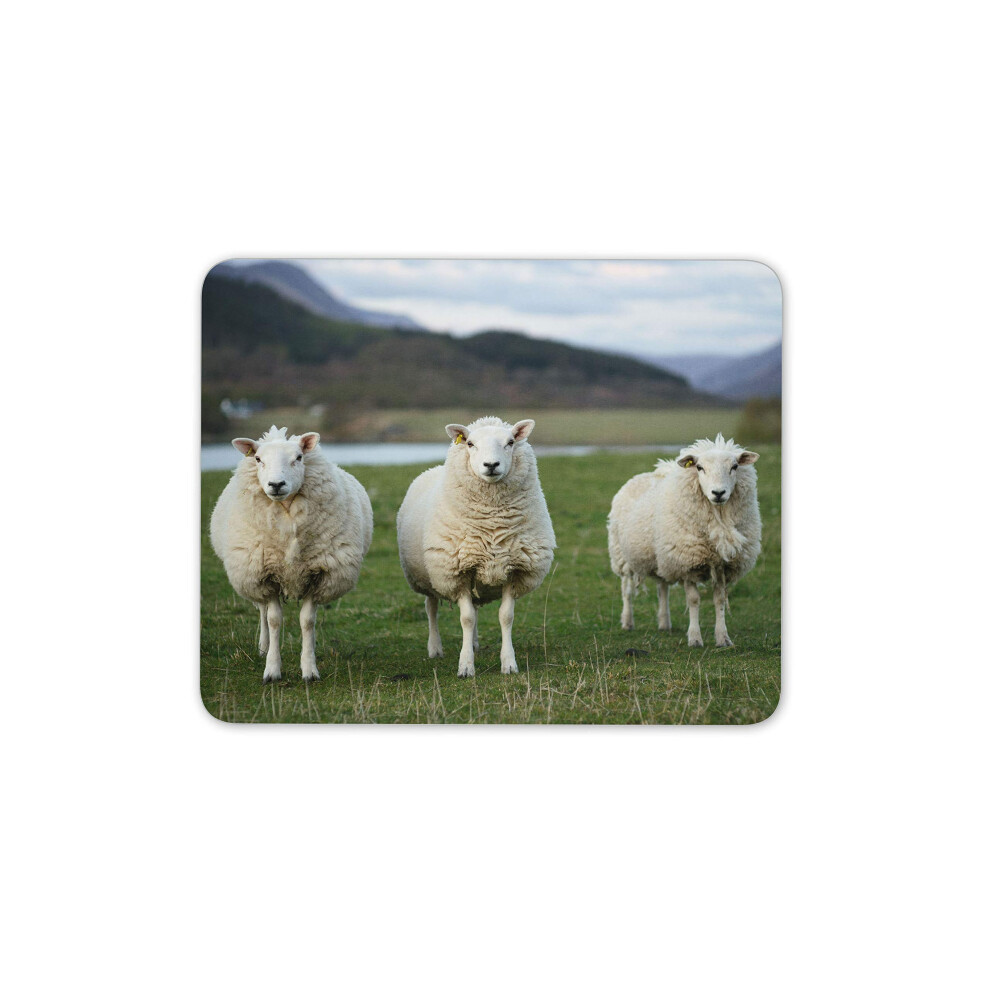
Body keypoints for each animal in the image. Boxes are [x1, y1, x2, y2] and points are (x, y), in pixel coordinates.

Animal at [209, 425, 373, 682]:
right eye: (258, 459)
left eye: (298, 457)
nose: (276, 484)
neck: (287, 517)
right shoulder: (266, 575)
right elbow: (274, 620)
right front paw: (272, 669)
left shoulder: (318, 574)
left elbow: (307, 622)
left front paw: (309, 669)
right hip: (254, 577)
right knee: (263, 612)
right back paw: (263, 647)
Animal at [396, 416, 556, 677]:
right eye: (470, 443)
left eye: (510, 442)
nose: (491, 465)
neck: (492, 523)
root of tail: (432, 469)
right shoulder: (457, 571)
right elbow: (467, 619)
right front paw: (465, 666)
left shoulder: (514, 569)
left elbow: (505, 617)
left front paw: (508, 663)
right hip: (428, 575)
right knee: (431, 608)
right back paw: (435, 648)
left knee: (474, 606)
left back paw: (473, 643)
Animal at [607, 433, 761, 648]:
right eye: (699, 467)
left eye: (735, 466)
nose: (718, 493)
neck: (719, 521)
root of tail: (645, 475)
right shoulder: (687, 562)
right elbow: (694, 600)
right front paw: (695, 638)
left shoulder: (722, 565)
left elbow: (719, 600)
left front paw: (723, 638)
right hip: (623, 557)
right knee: (627, 590)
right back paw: (627, 621)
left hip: (662, 557)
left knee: (662, 588)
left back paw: (664, 623)